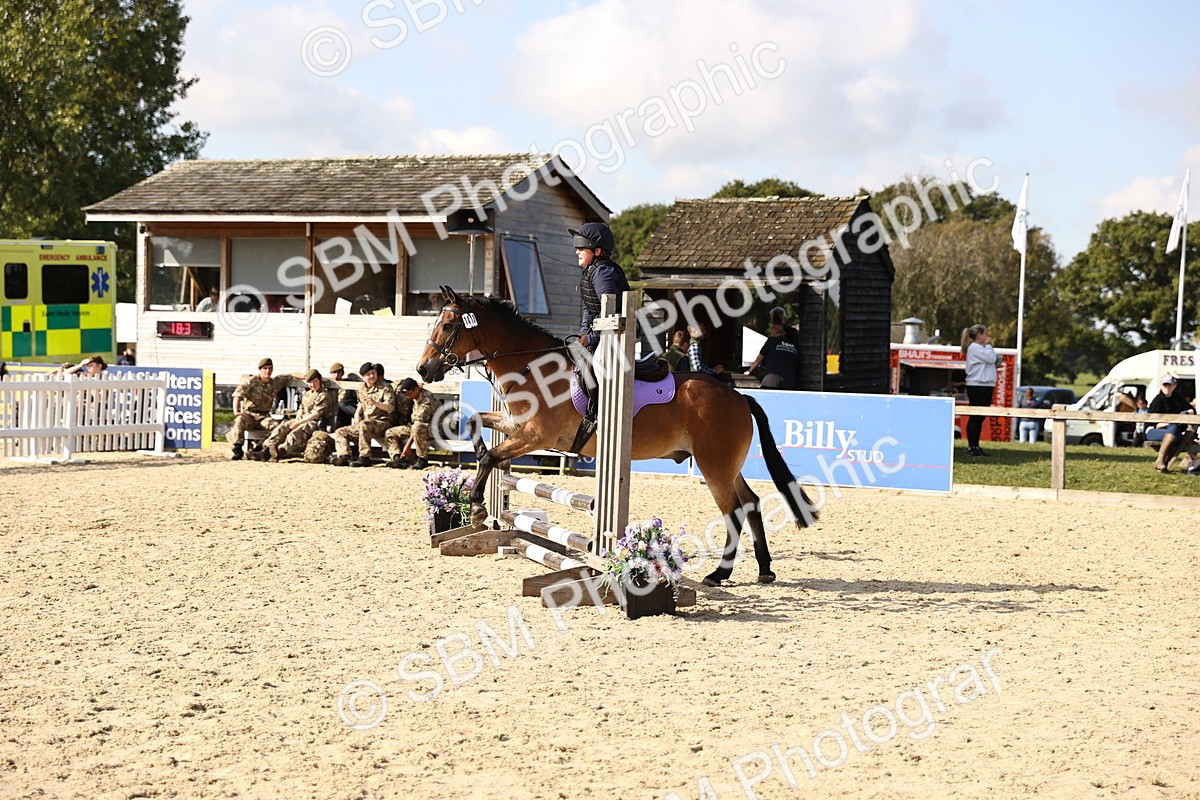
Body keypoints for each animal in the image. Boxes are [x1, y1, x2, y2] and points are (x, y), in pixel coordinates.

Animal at [415, 286, 817, 586]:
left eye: (448, 326)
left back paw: (720, 574)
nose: (423, 370)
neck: (531, 366)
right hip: (726, 465)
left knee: (734, 511)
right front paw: (481, 499)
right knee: (751, 502)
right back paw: (765, 570)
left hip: (714, 465)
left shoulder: (537, 437)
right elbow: (475, 426)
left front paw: (477, 505)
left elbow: (490, 457)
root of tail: (738, 396)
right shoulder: (516, 427)